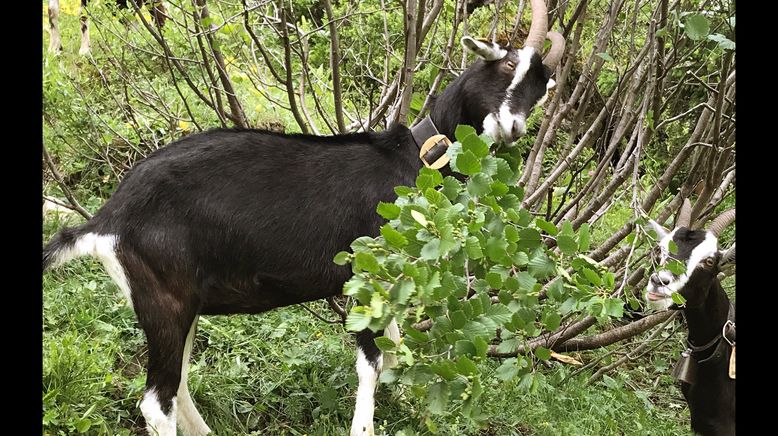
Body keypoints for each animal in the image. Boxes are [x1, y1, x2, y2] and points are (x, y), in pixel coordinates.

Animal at [42, 2, 560, 432]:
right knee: (157, 401)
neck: (412, 159)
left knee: (178, 384)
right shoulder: (365, 276)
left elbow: (396, 354)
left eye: (541, 90)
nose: (513, 128)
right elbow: (372, 363)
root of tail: (107, 219)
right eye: (507, 65)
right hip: (163, 297)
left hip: (182, 302)